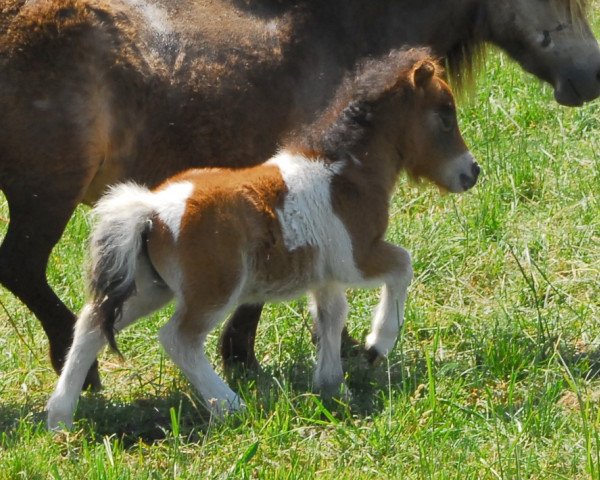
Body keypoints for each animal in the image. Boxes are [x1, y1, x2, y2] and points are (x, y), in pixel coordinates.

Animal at [1, 0, 600, 390]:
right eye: (444, 114)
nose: (590, 77)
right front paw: (272, 354)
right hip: (45, 196)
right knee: (23, 268)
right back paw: (86, 371)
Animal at [48, 48, 478, 430]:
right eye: (445, 113)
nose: (472, 172)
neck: (345, 175)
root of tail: (150, 209)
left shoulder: (325, 274)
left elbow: (331, 315)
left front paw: (332, 386)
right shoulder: (357, 257)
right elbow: (403, 265)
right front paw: (378, 345)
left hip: (150, 287)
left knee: (91, 326)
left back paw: (60, 418)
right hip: (213, 290)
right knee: (178, 338)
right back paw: (231, 407)